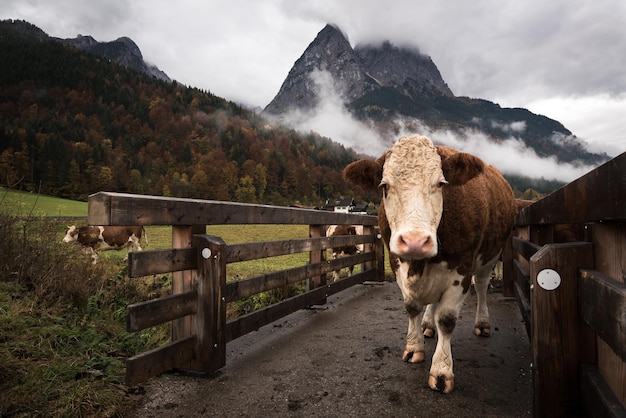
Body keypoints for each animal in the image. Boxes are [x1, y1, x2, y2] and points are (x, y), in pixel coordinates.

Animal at [344, 136, 516, 394]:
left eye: (441, 184)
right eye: (385, 186)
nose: (415, 241)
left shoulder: (462, 269)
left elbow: (446, 319)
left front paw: (442, 371)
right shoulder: (398, 264)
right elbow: (412, 307)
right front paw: (414, 347)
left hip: (490, 257)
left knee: (482, 286)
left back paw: (482, 323)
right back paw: (427, 324)